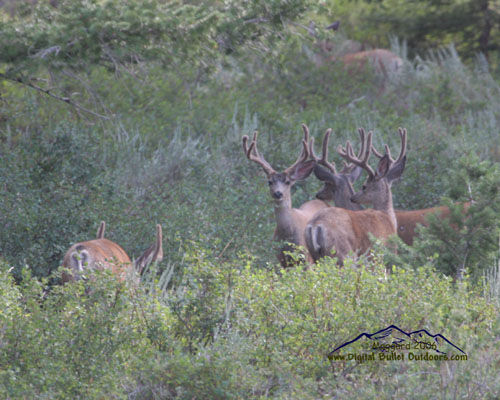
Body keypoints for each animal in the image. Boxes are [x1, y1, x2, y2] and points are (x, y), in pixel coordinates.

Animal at [304, 128, 406, 264]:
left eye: (363, 186)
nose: (353, 197)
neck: (387, 217)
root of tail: (316, 225)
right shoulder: (385, 253)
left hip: (317, 256)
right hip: (344, 253)